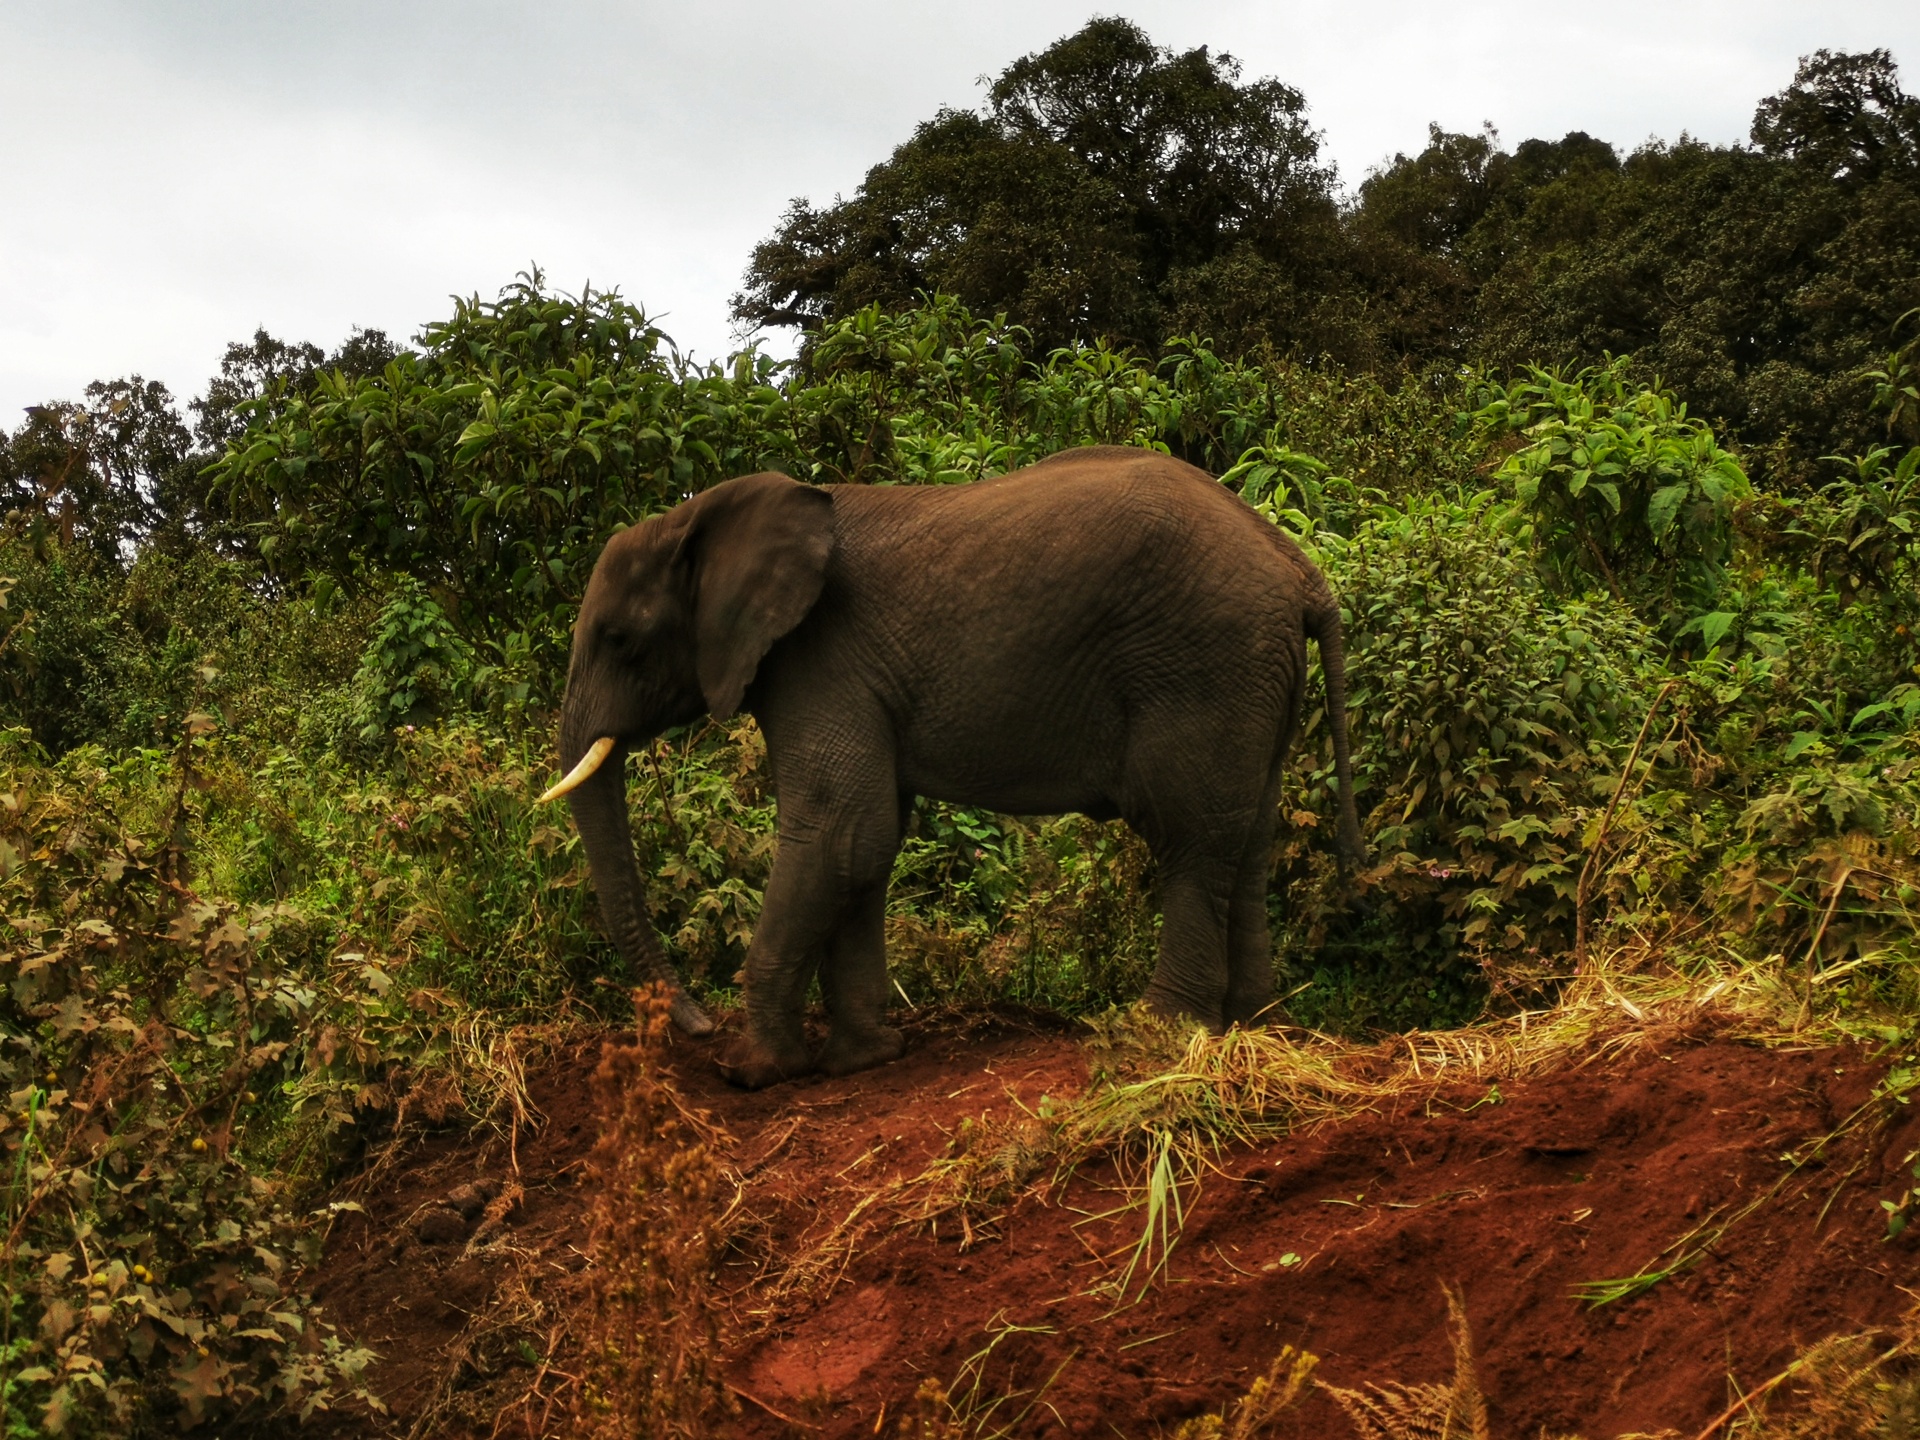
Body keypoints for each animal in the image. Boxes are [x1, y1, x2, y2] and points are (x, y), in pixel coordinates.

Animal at [542, 445, 1362, 1089]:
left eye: (619, 640)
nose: (701, 1025)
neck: (699, 517)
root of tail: (1299, 568)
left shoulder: (818, 658)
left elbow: (840, 832)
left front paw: (756, 1072)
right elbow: (867, 846)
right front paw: (866, 1059)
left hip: (1203, 664)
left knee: (1190, 840)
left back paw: (1153, 1036)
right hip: (1255, 674)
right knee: (1247, 841)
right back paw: (1254, 1028)